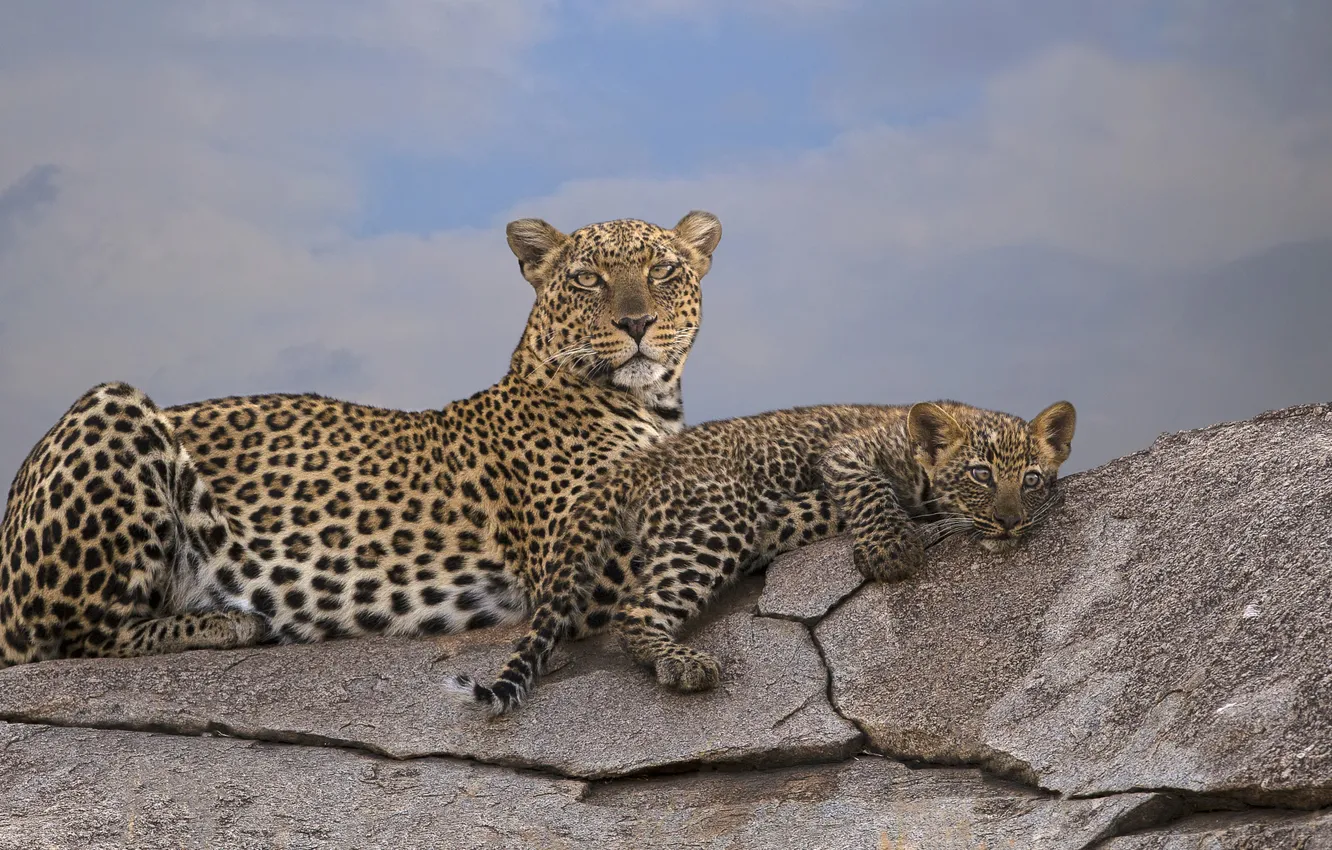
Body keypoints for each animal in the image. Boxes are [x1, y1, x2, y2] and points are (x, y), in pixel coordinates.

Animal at [0, 211, 723, 668]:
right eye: (586, 278)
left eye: (663, 272)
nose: (636, 323)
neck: (651, 403)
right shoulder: (573, 564)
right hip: (111, 404)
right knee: (66, 639)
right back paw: (231, 620)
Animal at [449, 398, 1076, 715]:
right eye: (980, 475)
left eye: (1032, 479)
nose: (1009, 521)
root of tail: (634, 464)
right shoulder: (850, 450)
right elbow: (871, 490)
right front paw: (892, 550)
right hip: (720, 517)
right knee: (633, 611)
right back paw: (682, 662)